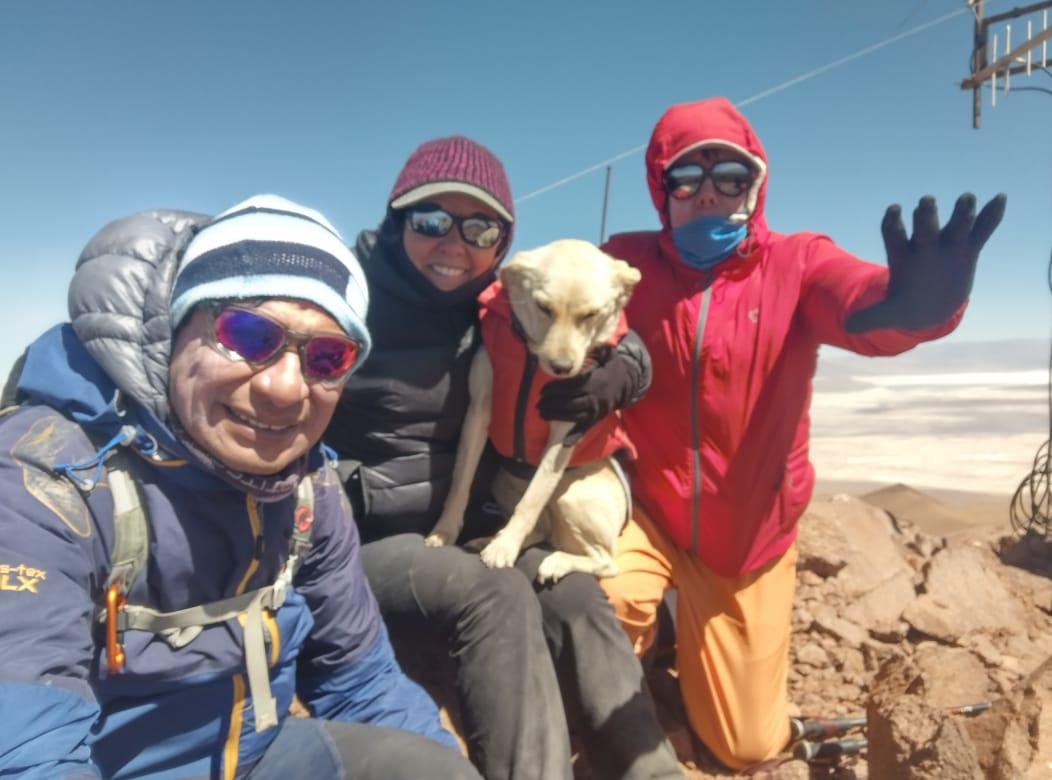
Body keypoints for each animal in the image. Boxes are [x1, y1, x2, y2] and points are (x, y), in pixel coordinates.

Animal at [420, 240, 635, 581]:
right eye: (543, 307)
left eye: (591, 315)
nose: (562, 368)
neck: (532, 360)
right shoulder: (479, 411)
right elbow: (460, 481)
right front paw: (445, 531)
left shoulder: (563, 432)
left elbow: (532, 499)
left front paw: (504, 548)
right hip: (504, 483)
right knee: (542, 530)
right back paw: (488, 539)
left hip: (571, 498)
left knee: (607, 563)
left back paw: (553, 561)